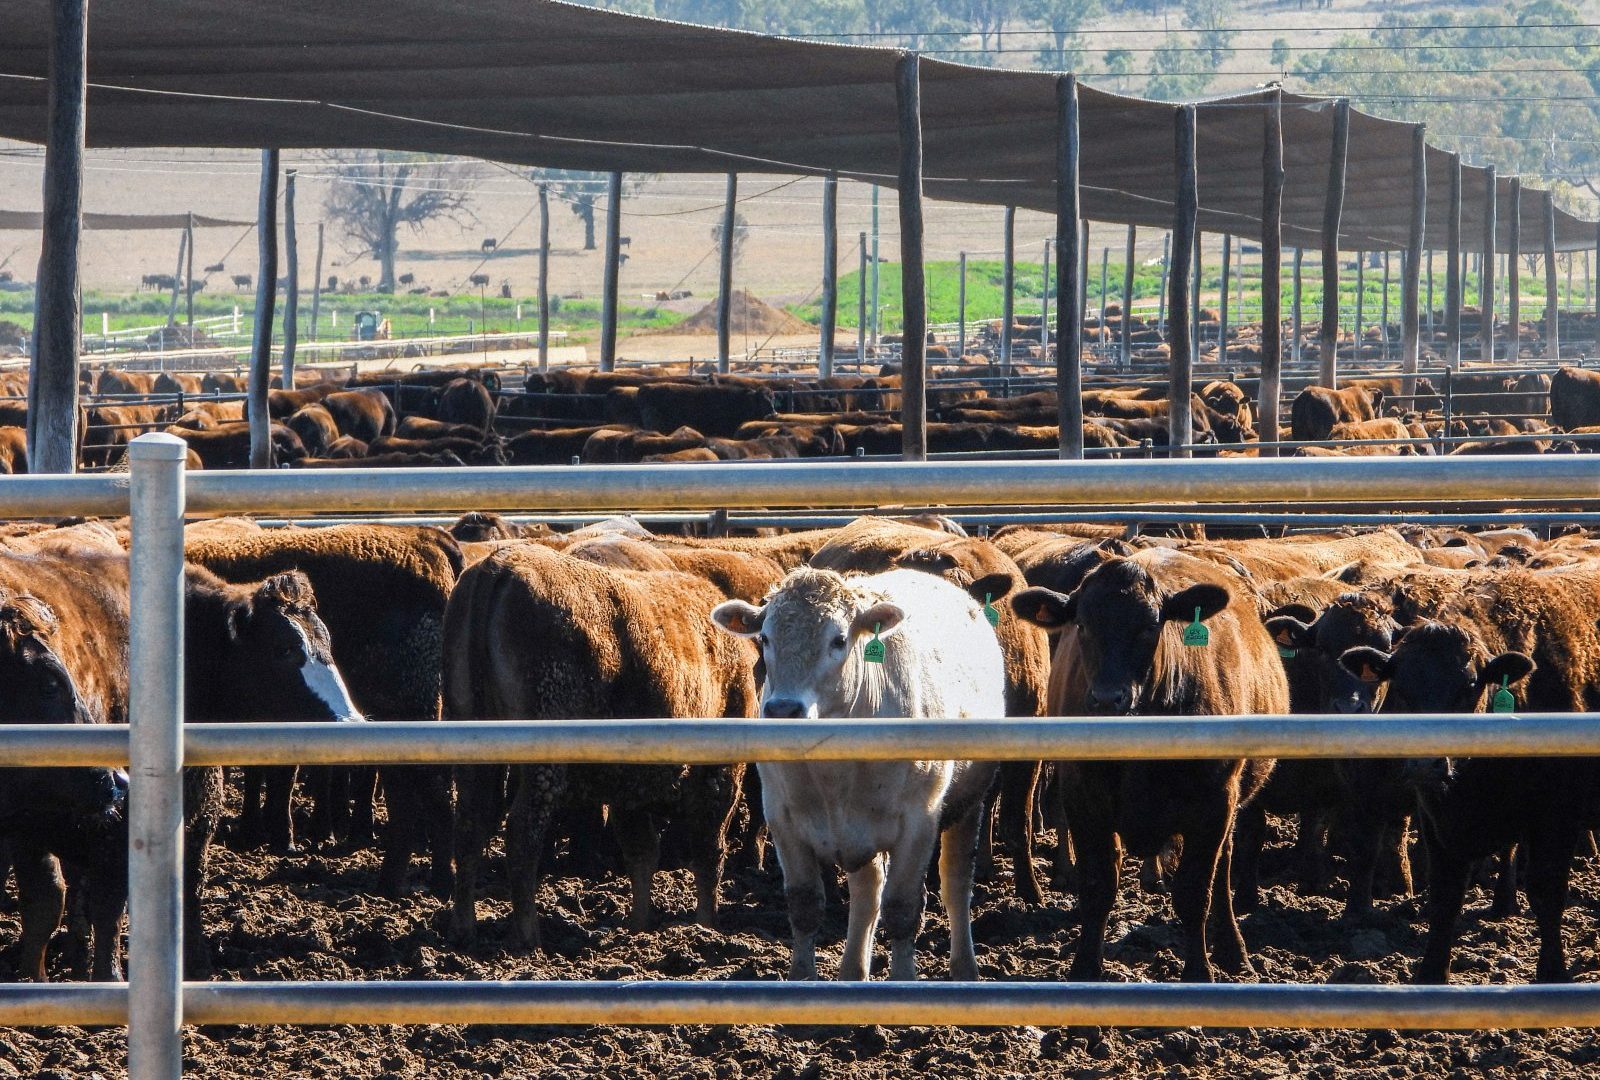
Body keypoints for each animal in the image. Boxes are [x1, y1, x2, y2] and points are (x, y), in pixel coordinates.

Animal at [712, 566, 1008, 980]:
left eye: (839, 639)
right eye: (765, 637)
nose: (783, 710)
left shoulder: (919, 820)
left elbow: (902, 909)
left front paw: (903, 981)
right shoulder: (782, 818)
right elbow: (804, 906)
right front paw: (801, 978)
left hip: (969, 803)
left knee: (955, 885)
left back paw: (964, 968)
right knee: (868, 891)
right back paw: (853, 972)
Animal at [1011, 549, 1288, 982]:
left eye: (1150, 626)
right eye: (1082, 625)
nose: (1108, 699)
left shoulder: (1214, 804)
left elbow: (1194, 892)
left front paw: (1199, 974)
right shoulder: (1083, 799)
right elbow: (1097, 886)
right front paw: (1084, 969)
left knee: (1222, 871)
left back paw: (1233, 950)